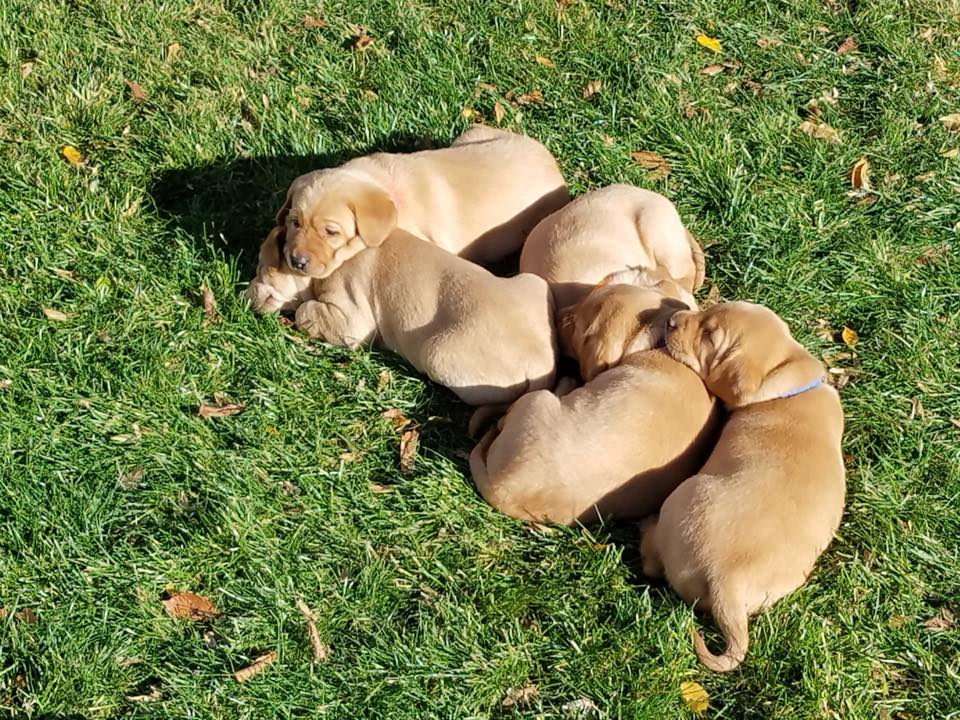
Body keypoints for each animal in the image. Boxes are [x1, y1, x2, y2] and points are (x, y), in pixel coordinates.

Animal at [640, 300, 844, 672]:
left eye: (709, 336)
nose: (673, 320)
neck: (782, 387)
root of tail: (727, 583)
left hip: (681, 496)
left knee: (652, 561)